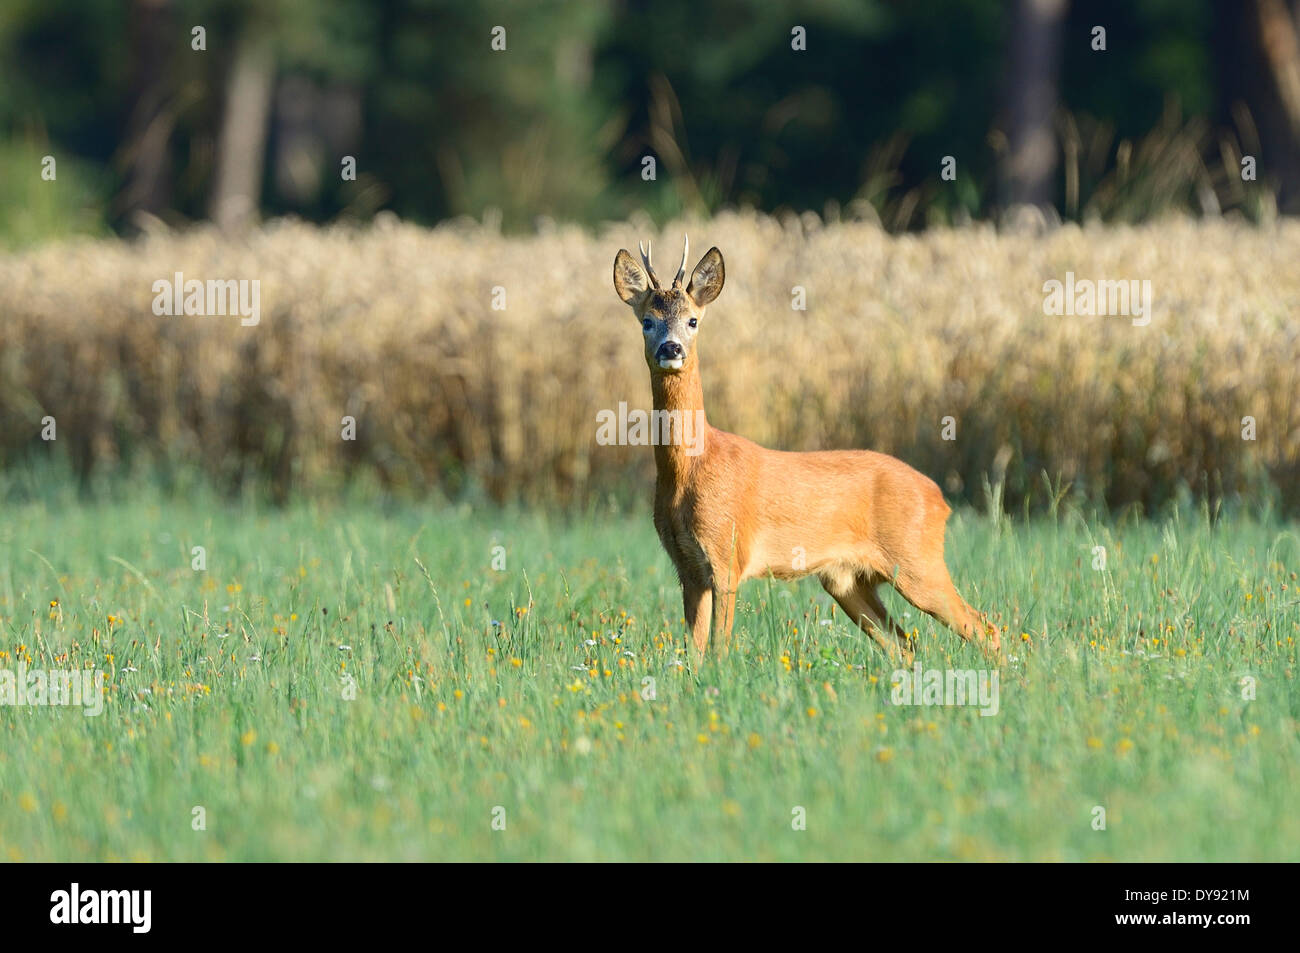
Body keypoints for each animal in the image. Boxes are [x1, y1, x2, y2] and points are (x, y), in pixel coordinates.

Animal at [608, 236, 993, 660]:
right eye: (647, 321)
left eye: (693, 320)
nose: (671, 348)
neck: (690, 469)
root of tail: (939, 498)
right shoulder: (687, 568)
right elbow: (693, 653)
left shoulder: (727, 557)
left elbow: (718, 650)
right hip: (847, 582)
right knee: (905, 646)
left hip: (917, 560)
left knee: (983, 626)